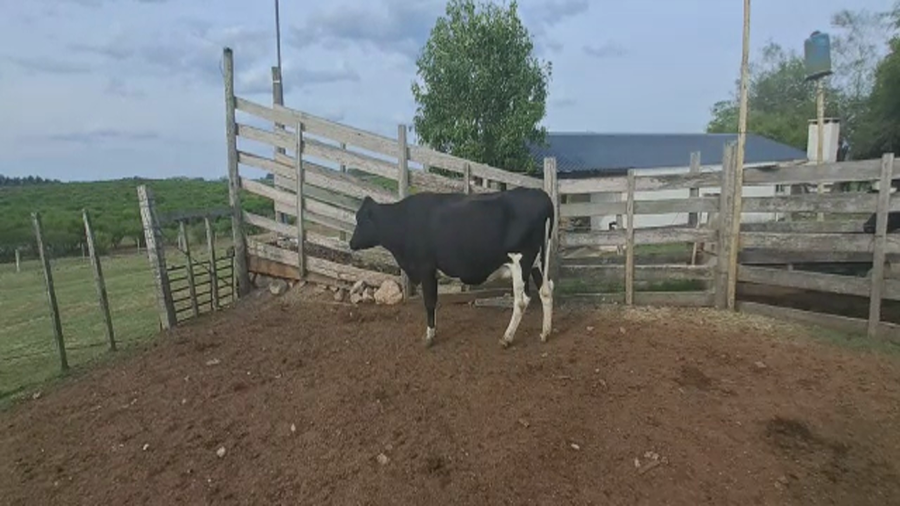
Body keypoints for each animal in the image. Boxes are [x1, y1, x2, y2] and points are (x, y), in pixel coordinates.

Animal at [348, 187, 555, 349]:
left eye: (361, 220)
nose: (351, 243)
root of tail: (540, 194)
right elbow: (434, 300)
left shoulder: (425, 268)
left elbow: (429, 302)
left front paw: (429, 337)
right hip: (538, 263)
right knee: (546, 291)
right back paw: (545, 333)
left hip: (520, 262)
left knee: (521, 301)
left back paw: (507, 338)